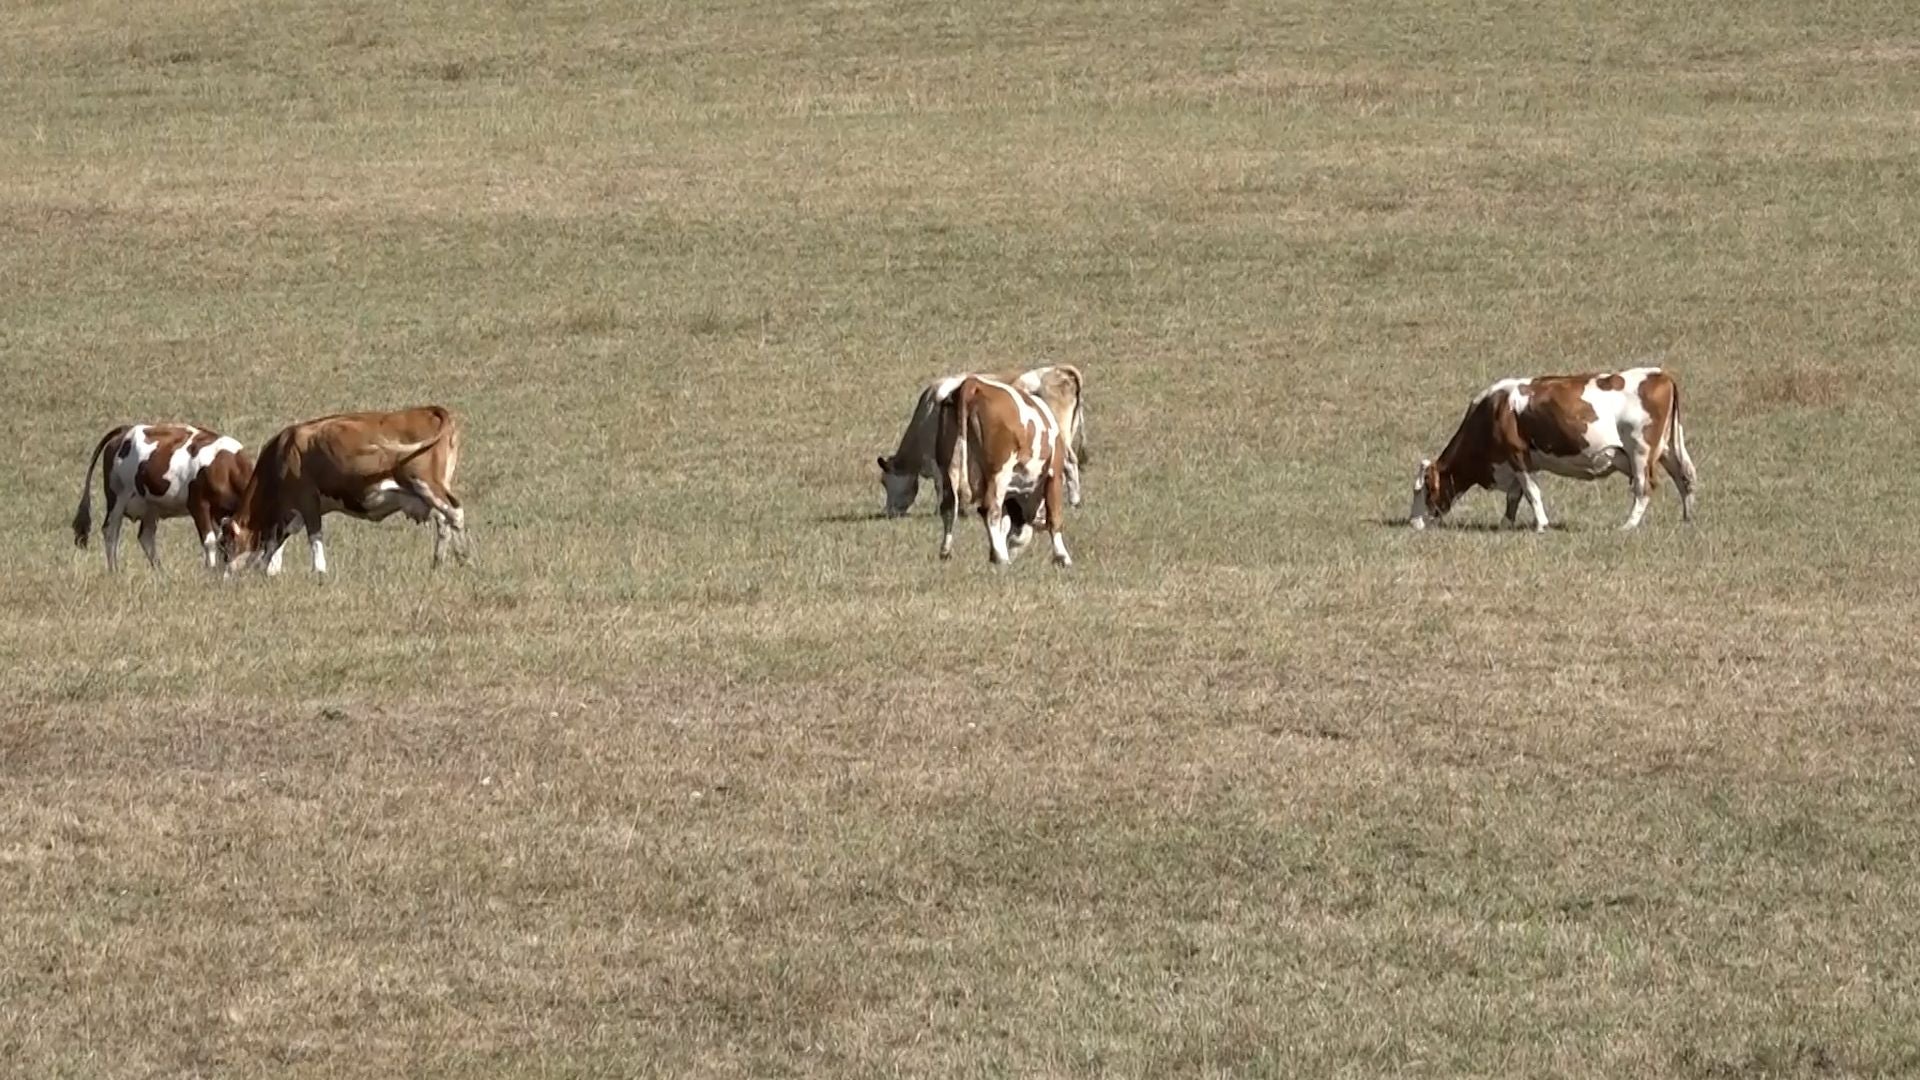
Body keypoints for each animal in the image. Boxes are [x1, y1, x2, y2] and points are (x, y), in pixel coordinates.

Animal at [71, 424, 253, 571]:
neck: (227, 468)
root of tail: (124, 430)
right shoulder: (198, 504)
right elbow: (210, 541)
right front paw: (212, 571)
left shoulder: (219, 511)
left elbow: (220, 540)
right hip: (117, 497)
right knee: (110, 531)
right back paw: (114, 570)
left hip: (150, 506)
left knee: (145, 536)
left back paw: (160, 571)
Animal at [218, 406, 470, 575]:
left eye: (225, 545)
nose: (224, 577)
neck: (281, 454)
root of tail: (429, 410)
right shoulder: (291, 512)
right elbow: (277, 540)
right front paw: (266, 569)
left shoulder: (307, 499)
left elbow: (313, 535)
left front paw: (319, 571)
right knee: (444, 521)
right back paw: (438, 563)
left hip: (427, 484)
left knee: (455, 513)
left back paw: (465, 559)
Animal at [878, 365, 1086, 517]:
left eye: (885, 482)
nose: (889, 513)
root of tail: (1058, 369)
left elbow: (943, 484)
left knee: (1069, 462)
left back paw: (1073, 501)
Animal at [935, 375, 1074, 567]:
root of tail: (974, 383)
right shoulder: (1054, 473)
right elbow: (1055, 518)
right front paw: (1063, 557)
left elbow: (1005, 523)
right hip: (999, 472)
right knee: (990, 509)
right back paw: (1002, 558)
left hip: (947, 467)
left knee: (948, 507)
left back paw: (945, 552)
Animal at [1409, 367, 1697, 532]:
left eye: (1424, 490)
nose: (1414, 523)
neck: (1493, 410)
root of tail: (1660, 374)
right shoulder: (1515, 462)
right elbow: (1514, 495)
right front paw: (1505, 524)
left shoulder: (1517, 455)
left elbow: (1531, 492)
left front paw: (1541, 525)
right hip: (1668, 448)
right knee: (1684, 477)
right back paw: (1687, 518)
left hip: (1640, 451)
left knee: (1644, 487)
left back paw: (1628, 525)